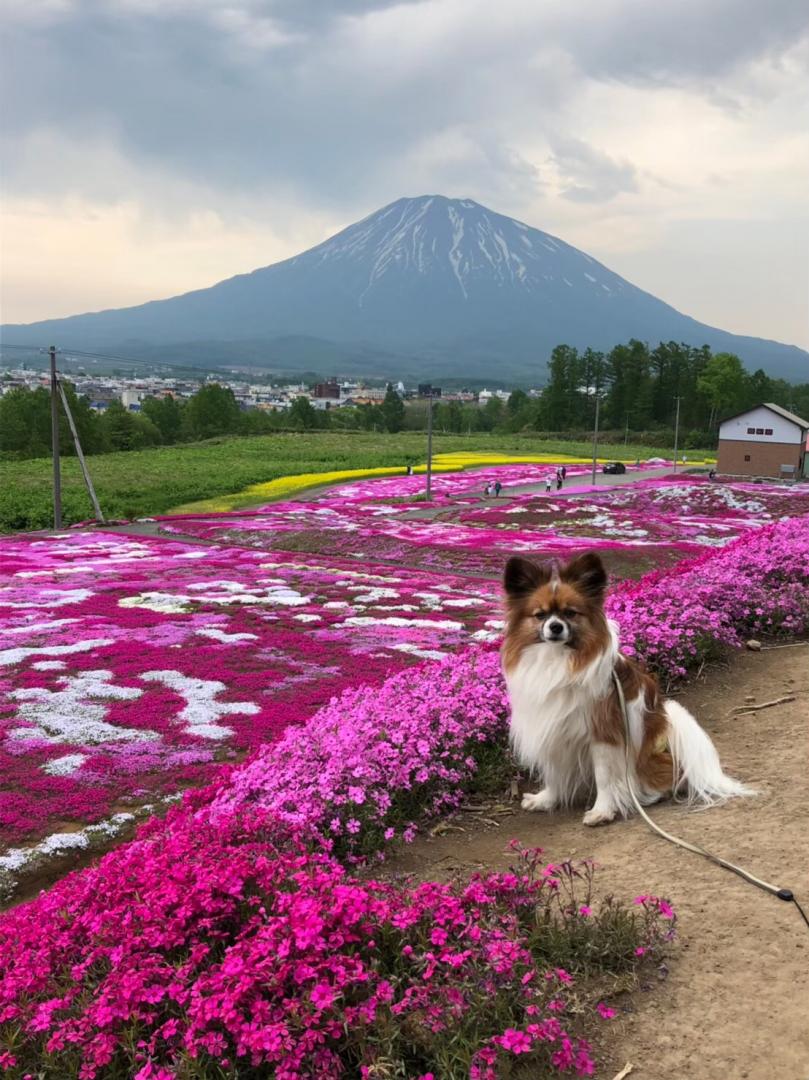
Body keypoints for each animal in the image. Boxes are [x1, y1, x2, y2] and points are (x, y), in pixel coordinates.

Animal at [499, 552, 751, 820]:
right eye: (540, 615)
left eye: (570, 613)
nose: (555, 626)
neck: (557, 658)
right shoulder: (550, 728)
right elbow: (553, 771)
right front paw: (546, 800)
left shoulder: (602, 733)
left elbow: (604, 776)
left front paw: (602, 811)